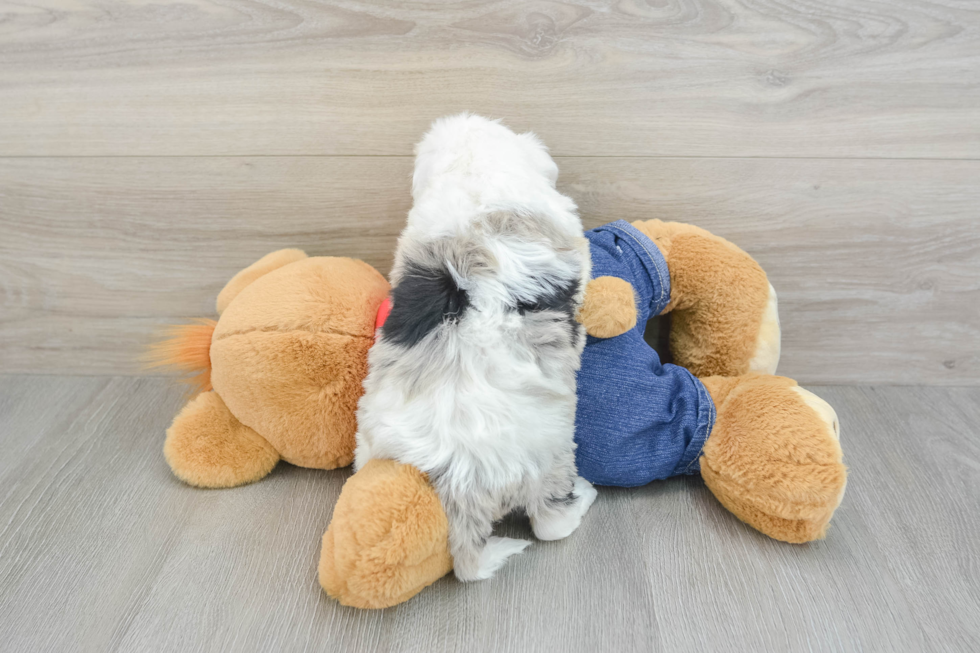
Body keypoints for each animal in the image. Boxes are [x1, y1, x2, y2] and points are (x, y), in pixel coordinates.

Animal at [354, 113, 596, 580]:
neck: (473, 166)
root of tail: (461, 486)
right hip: (551, 458)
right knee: (551, 524)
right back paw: (584, 498)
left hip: (375, 447)